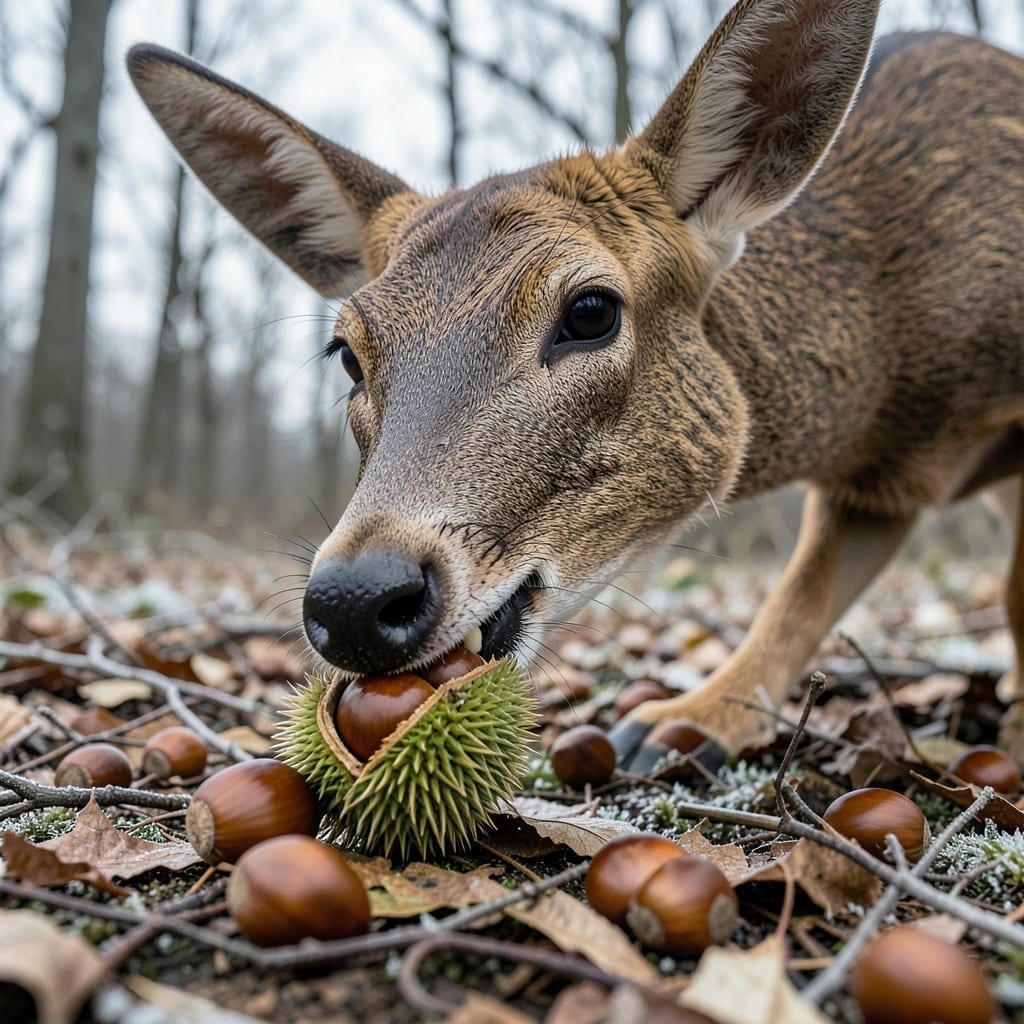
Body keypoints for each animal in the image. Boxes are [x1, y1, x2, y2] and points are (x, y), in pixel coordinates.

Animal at [127, 0, 1024, 772]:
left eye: (590, 311)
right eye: (347, 352)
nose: (355, 598)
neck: (896, 376)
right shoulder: (876, 488)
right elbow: (802, 597)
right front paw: (680, 723)